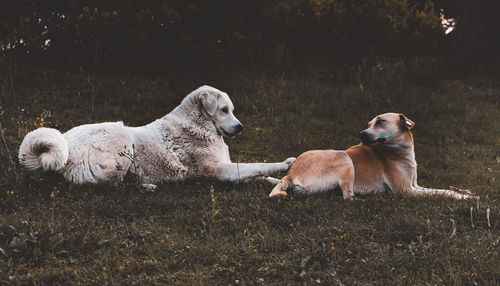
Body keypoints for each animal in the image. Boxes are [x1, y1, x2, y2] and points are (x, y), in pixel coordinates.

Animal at [18, 85, 292, 188]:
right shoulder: (220, 171)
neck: (198, 124)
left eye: (231, 110)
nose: (241, 127)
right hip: (123, 138)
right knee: (111, 185)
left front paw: (280, 181)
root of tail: (65, 144)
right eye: (223, 110)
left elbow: (258, 173)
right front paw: (286, 164)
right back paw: (147, 185)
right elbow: (257, 166)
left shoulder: (228, 166)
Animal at [270, 113, 476, 200]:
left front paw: (464, 192)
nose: (361, 134)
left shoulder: (415, 186)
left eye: (380, 121)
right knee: (347, 196)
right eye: (370, 123)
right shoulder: (406, 190)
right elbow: (441, 193)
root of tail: (291, 173)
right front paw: (462, 197)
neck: (398, 152)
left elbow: (439, 189)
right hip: (343, 157)